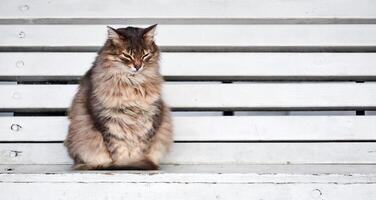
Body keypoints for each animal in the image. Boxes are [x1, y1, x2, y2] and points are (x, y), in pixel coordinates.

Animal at [64, 23, 173, 170]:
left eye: (145, 55)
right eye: (127, 55)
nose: (138, 66)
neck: (132, 84)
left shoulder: (150, 118)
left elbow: (141, 147)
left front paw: (135, 162)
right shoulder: (108, 119)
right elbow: (117, 148)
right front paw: (123, 164)